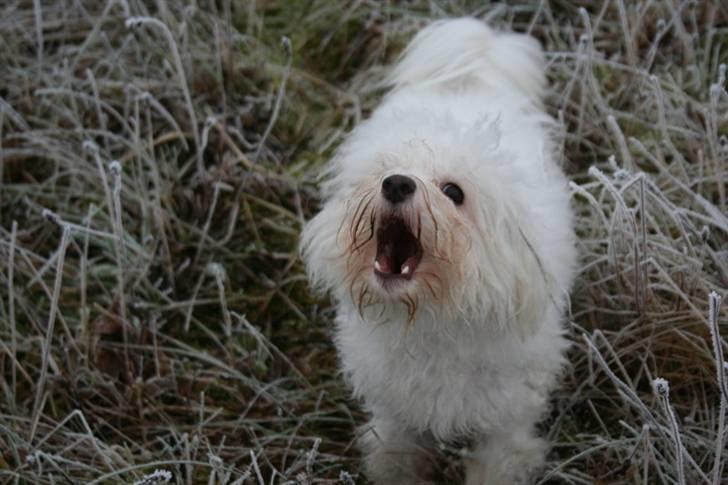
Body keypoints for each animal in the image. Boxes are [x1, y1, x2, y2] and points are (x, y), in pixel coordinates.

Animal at [300, 18, 576, 484]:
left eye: (453, 192)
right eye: (384, 169)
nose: (396, 183)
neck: (433, 322)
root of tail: (476, 61)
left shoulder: (508, 420)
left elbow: (498, 462)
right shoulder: (395, 409)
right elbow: (397, 452)